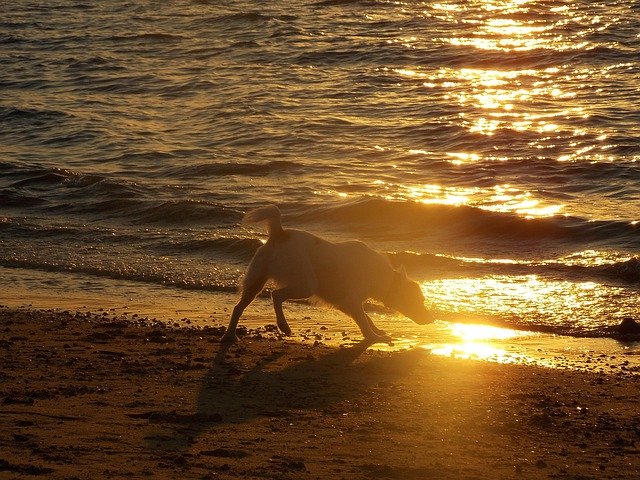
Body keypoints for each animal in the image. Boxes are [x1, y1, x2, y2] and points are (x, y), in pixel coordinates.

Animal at [221, 204, 436, 344]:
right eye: (419, 301)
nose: (432, 319)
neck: (386, 278)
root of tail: (280, 233)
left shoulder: (343, 302)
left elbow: (367, 317)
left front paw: (376, 330)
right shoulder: (352, 300)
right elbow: (364, 320)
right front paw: (374, 337)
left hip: (256, 281)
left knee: (238, 308)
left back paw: (229, 336)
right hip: (306, 284)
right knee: (276, 295)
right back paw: (283, 326)